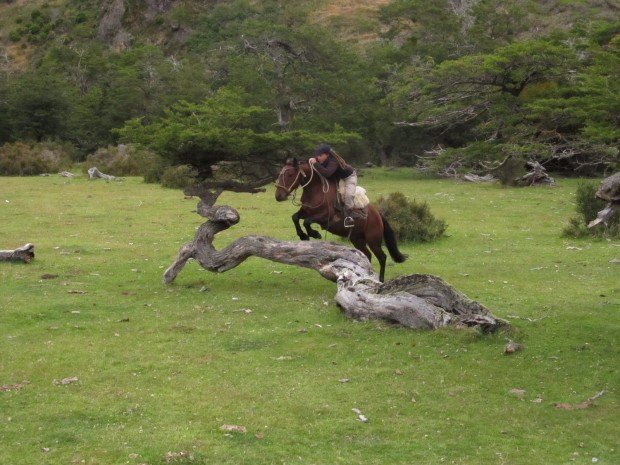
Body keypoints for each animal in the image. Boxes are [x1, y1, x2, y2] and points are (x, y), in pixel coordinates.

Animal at [274, 158, 404, 280]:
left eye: (290, 174)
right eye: (280, 174)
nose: (278, 196)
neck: (316, 190)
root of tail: (378, 214)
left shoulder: (326, 218)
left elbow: (307, 222)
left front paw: (314, 234)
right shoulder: (306, 211)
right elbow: (295, 217)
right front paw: (303, 235)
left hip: (373, 240)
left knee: (382, 257)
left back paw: (380, 279)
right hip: (357, 238)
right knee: (366, 255)